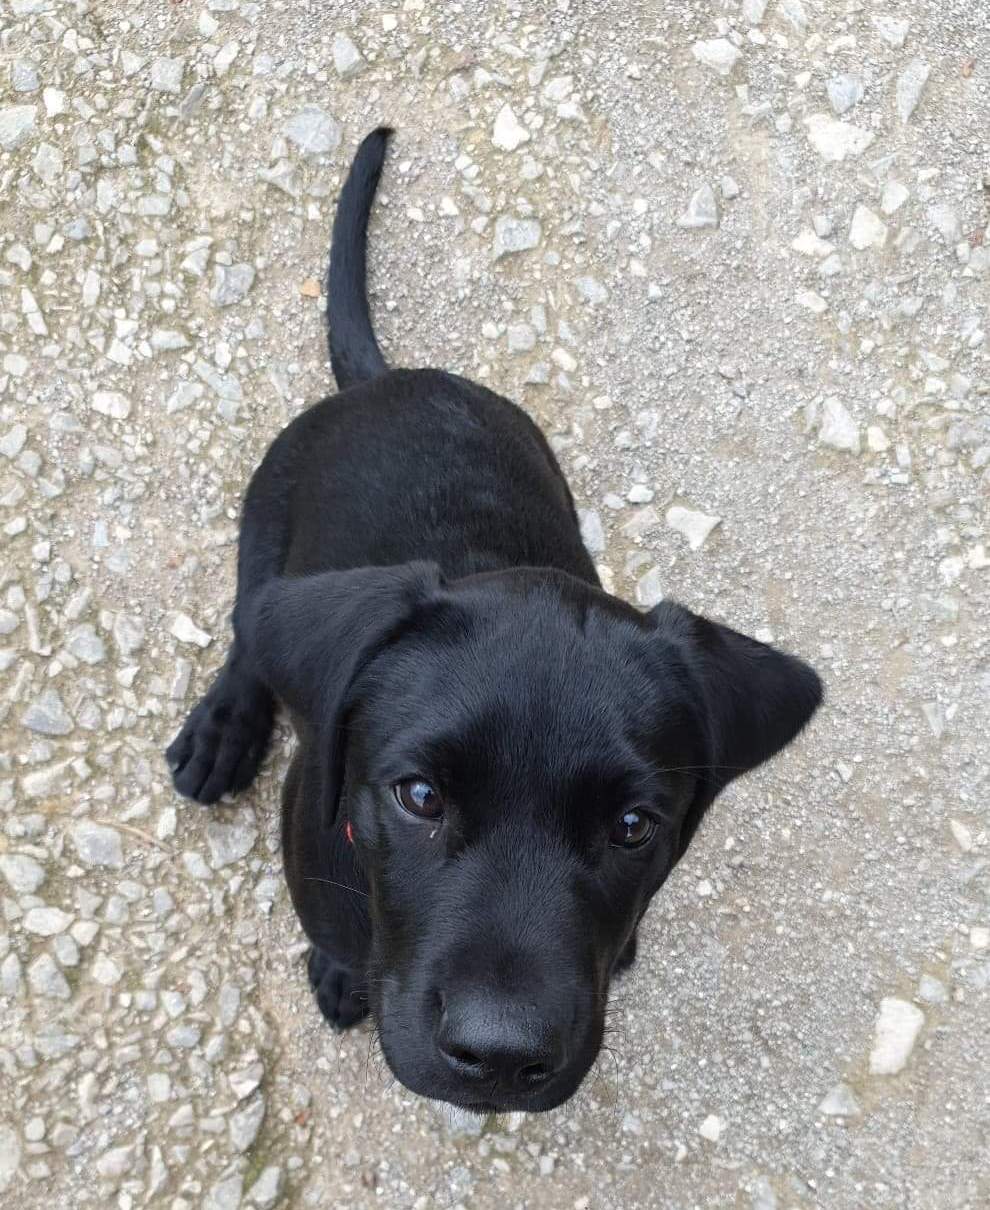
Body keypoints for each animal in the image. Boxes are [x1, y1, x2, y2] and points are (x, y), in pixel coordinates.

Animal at [165, 132, 822, 1113]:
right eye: (419, 797)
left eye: (636, 825)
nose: (503, 1057)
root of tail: (388, 378)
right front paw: (341, 974)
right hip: (265, 517)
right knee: (251, 634)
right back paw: (222, 732)